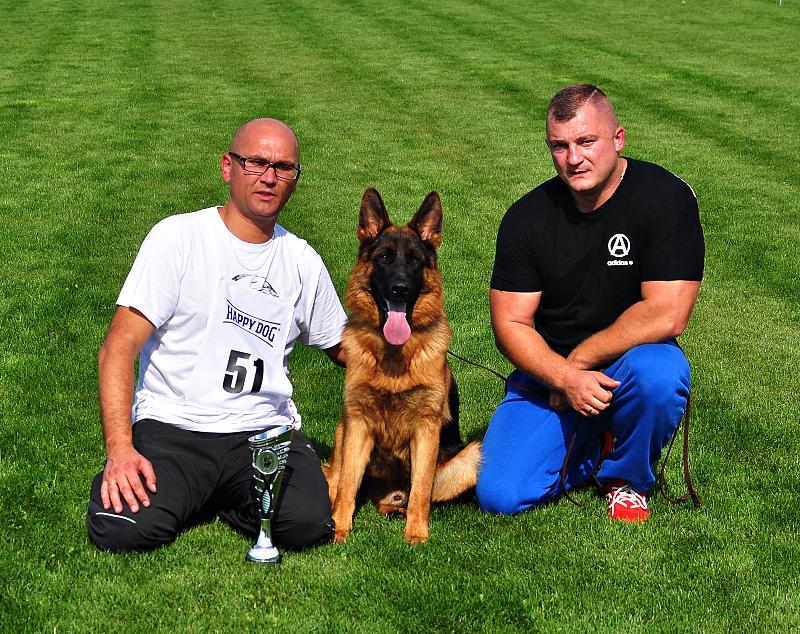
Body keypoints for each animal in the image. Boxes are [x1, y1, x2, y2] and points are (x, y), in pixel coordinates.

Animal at [324, 187, 481, 544]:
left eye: (415, 261)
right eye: (384, 258)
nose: (400, 289)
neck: (395, 356)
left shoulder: (426, 429)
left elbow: (421, 490)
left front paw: (416, 533)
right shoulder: (357, 422)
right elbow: (347, 485)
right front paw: (339, 527)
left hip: (469, 458)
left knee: (416, 494)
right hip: (342, 429)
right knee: (337, 480)